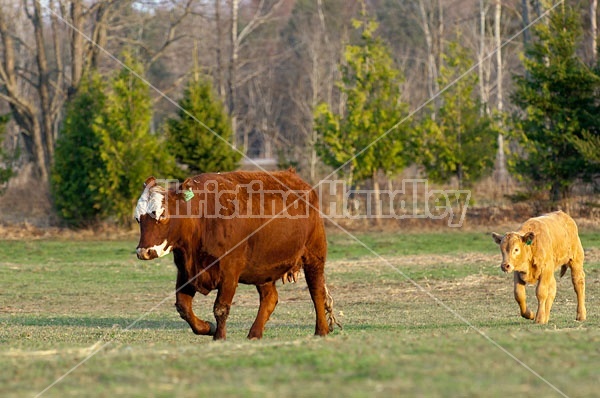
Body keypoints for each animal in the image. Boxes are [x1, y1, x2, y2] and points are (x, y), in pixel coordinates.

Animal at [134, 169, 340, 340]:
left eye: (162, 215)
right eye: (138, 218)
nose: (144, 252)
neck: (203, 219)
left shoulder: (229, 272)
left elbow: (220, 308)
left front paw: (219, 337)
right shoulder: (185, 272)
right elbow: (183, 307)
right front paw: (207, 328)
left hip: (314, 255)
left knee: (316, 292)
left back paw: (321, 330)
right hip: (263, 268)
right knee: (270, 298)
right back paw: (254, 334)